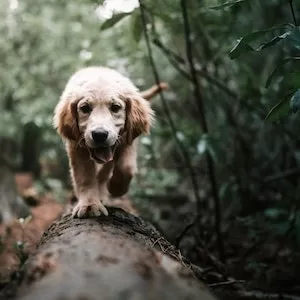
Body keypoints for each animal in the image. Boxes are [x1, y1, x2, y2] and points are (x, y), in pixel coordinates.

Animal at [53, 67, 155, 218]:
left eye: (115, 107)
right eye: (85, 108)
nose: (99, 135)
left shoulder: (128, 141)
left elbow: (126, 167)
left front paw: (116, 188)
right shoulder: (76, 147)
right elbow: (85, 177)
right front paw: (89, 204)